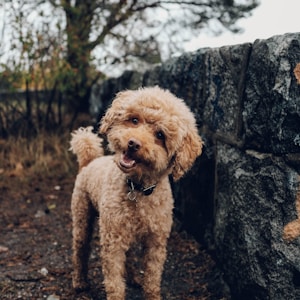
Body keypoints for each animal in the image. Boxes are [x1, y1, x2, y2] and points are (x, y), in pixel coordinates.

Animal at [69, 85, 203, 298]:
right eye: (134, 120)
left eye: (160, 135)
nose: (133, 143)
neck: (138, 188)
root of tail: (89, 161)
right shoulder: (113, 241)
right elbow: (114, 283)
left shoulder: (156, 243)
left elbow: (152, 279)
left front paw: (150, 292)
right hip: (82, 215)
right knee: (80, 250)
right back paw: (80, 281)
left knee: (129, 255)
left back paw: (132, 278)